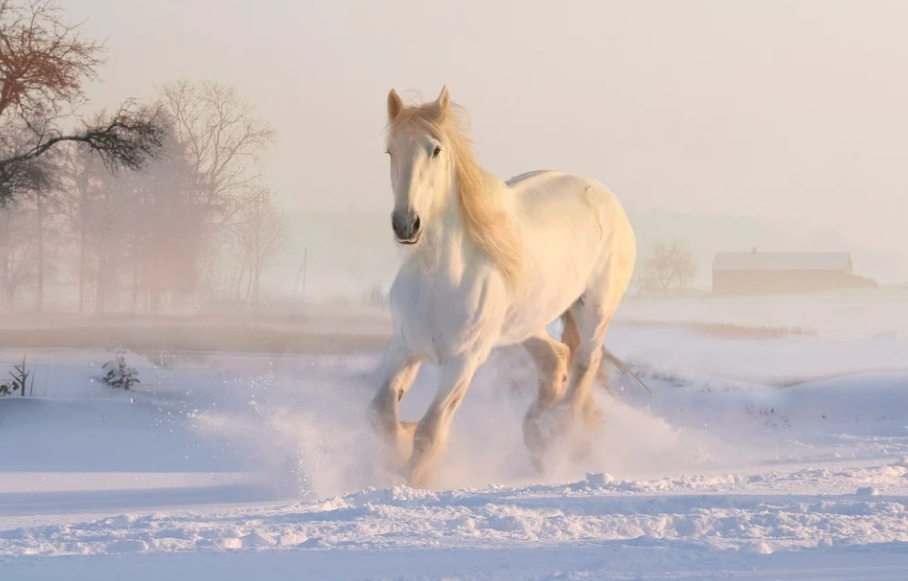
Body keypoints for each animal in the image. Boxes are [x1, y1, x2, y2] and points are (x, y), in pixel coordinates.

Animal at [368, 85, 640, 484]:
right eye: (391, 151)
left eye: (435, 149)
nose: (406, 224)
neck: (439, 278)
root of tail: (605, 195)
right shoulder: (404, 346)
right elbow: (381, 416)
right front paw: (396, 451)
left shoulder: (463, 362)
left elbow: (430, 432)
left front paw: (409, 478)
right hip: (525, 323)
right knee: (555, 360)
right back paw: (537, 435)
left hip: (595, 311)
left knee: (583, 366)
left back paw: (558, 434)